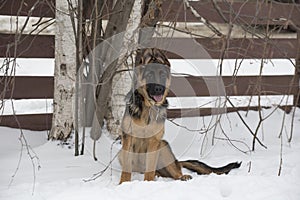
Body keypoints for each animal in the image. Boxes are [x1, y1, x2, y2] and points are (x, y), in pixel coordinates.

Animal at [118, 47, 240, 184]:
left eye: (163, 75)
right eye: (149, 75)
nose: (159, 89)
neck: (147, 108)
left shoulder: (154, 141)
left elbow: (150, 169)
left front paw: (148, 183)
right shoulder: (128, 139)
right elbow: (127, 169)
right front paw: (123, 184)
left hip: (163, 146)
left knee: (173, 172)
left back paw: (181, 177)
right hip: (122, 153)